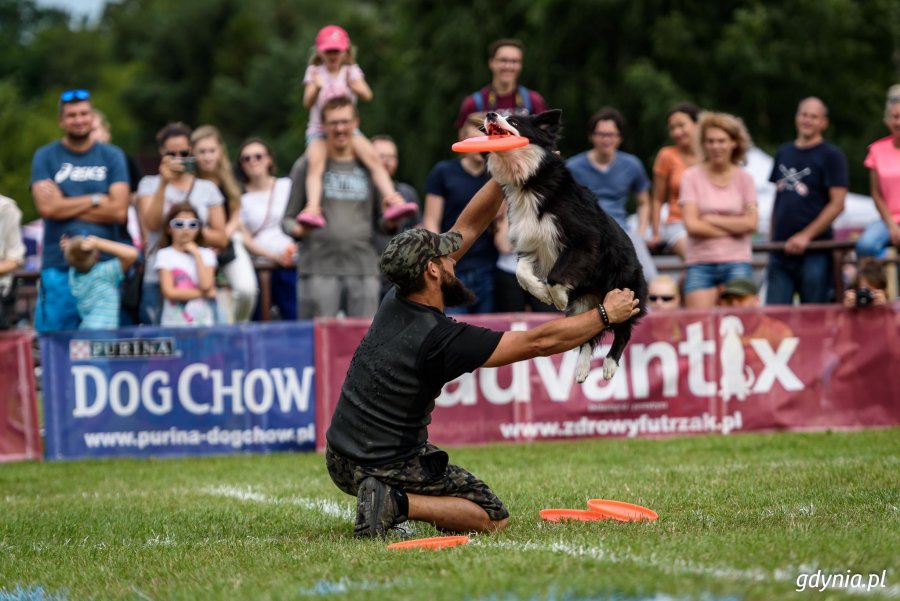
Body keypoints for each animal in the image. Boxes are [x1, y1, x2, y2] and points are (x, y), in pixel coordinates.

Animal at [486, 110, 648, 382]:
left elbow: (555, 276)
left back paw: (609, 365)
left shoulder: (583, 239)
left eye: (514, 121)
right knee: (589, 332)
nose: (490, 114)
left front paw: (558, 297)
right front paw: (541, 292)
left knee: (622, 329)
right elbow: (522, 273)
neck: (529, 182)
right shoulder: (530, 243)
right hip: (586, 303)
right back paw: (581, 369)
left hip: (623, 286)